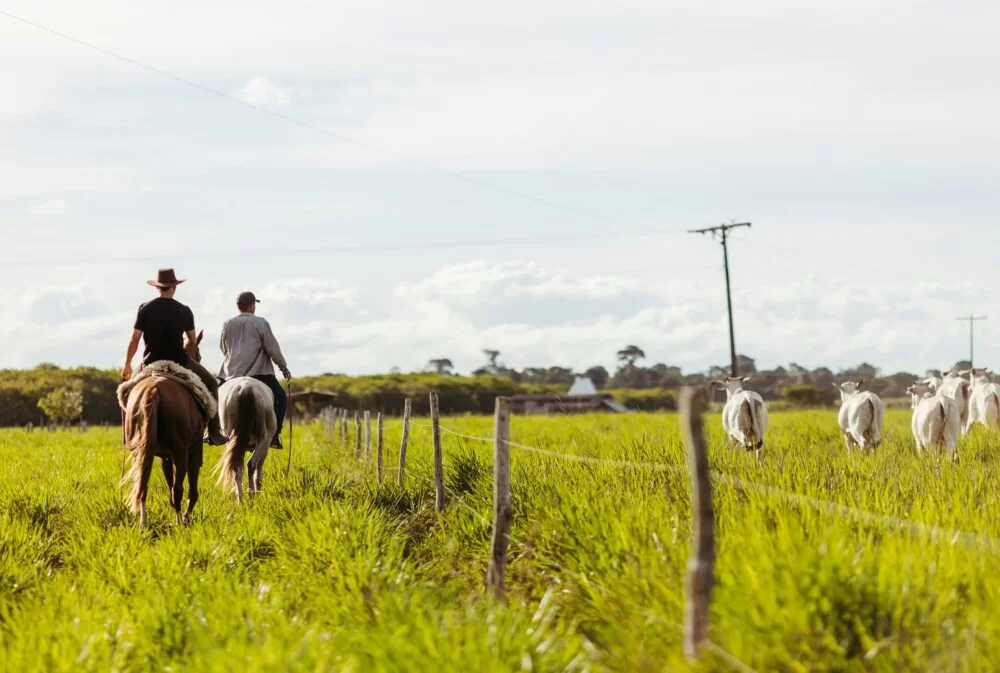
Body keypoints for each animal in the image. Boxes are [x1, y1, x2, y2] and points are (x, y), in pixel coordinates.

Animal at [125, 330, 211, 524]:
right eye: (199, 353)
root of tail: (153, 389)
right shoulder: (194, 450)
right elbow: (191, 489)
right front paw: (186, 517)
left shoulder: (164, 457)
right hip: (181, 452)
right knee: (178, 489)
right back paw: (179, 522)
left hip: (140, 451)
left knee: (142, 482)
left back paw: (143, 522)